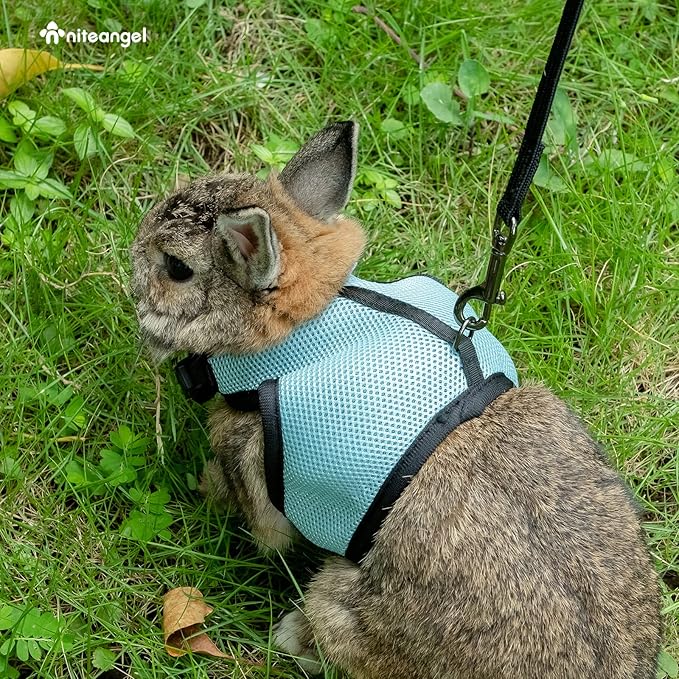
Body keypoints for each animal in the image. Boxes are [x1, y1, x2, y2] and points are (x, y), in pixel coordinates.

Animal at [130, 121, 661, 679]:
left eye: (176, 267)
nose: (132, 262)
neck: (304, 324)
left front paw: (205, 485)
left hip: (343, 608)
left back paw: (291, 636)